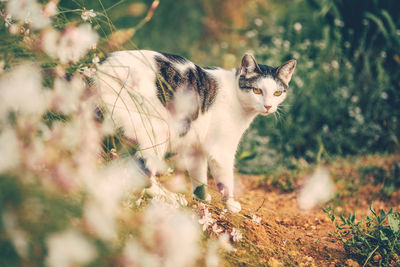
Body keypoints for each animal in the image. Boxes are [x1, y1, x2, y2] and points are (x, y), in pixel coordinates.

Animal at [95, 50, 296, 214]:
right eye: (257, 90)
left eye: (277, 93)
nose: (268, 106)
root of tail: (100, 70)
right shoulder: (221, 150)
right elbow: (226, 180)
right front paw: (230, 204)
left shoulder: (195, 147)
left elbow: (199, 177)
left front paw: (202, 198)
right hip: (156, 131)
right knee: (140, 172)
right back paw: (159, 198)